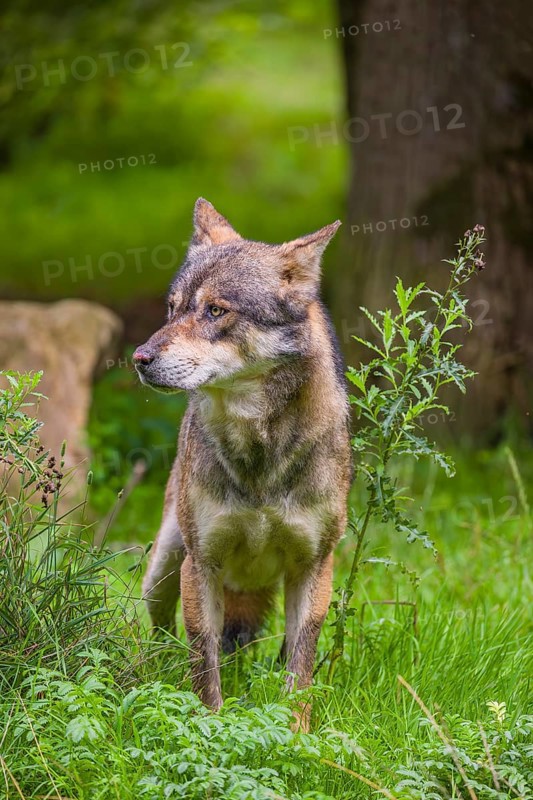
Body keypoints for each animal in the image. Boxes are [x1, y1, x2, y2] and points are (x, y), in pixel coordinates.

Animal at [133, 199, 351, 731]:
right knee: (162, 633)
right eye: (173, 309)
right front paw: (210, 729)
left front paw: (297, 735)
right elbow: (204, 668)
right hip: (165, 567)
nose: (139, 358)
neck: (260, 454)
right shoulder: (202, 565)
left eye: (215, 310)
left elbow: (299, 672)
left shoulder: (314, 569)